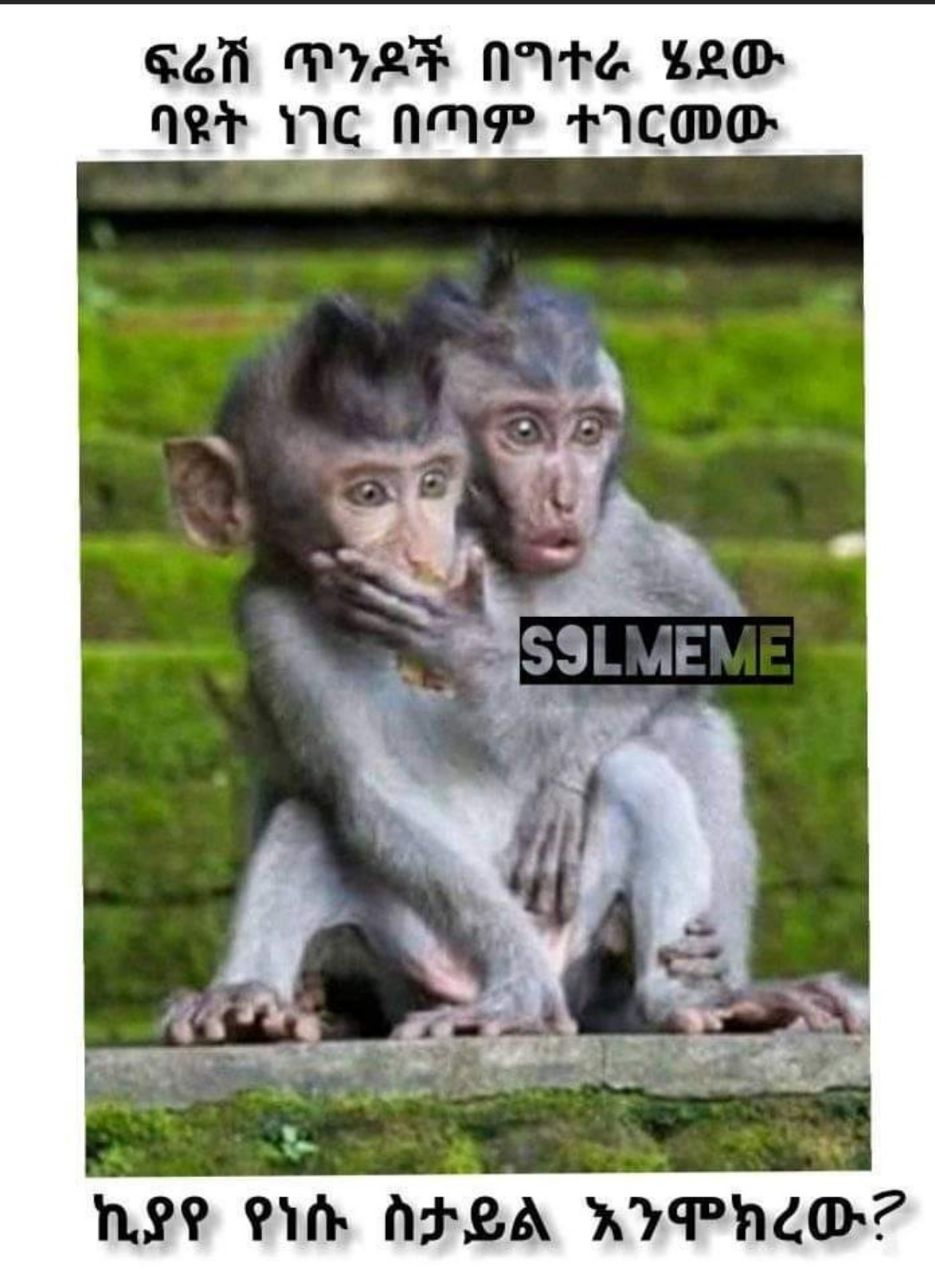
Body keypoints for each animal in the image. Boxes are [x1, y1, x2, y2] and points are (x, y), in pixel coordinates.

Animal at [161, 294, 743, 1045]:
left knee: (640, 769)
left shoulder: (489, 555)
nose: (421, 552)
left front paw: (461, 647)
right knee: (311, 822)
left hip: (576, 922)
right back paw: (251, 1004)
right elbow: (368, 793)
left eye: (433, 484)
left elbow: (691, 627)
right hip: (413, 948)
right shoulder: (269, 618)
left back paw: (680, 998)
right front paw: (517, 989)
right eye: (370, 495)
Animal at [310, 251, 866, 1035]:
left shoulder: (620, 528)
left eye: (588, 432)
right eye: (522, 431)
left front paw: (561, 769)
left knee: (686, 722)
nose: (565, 498)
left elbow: (709, 622)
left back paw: (725, 990)